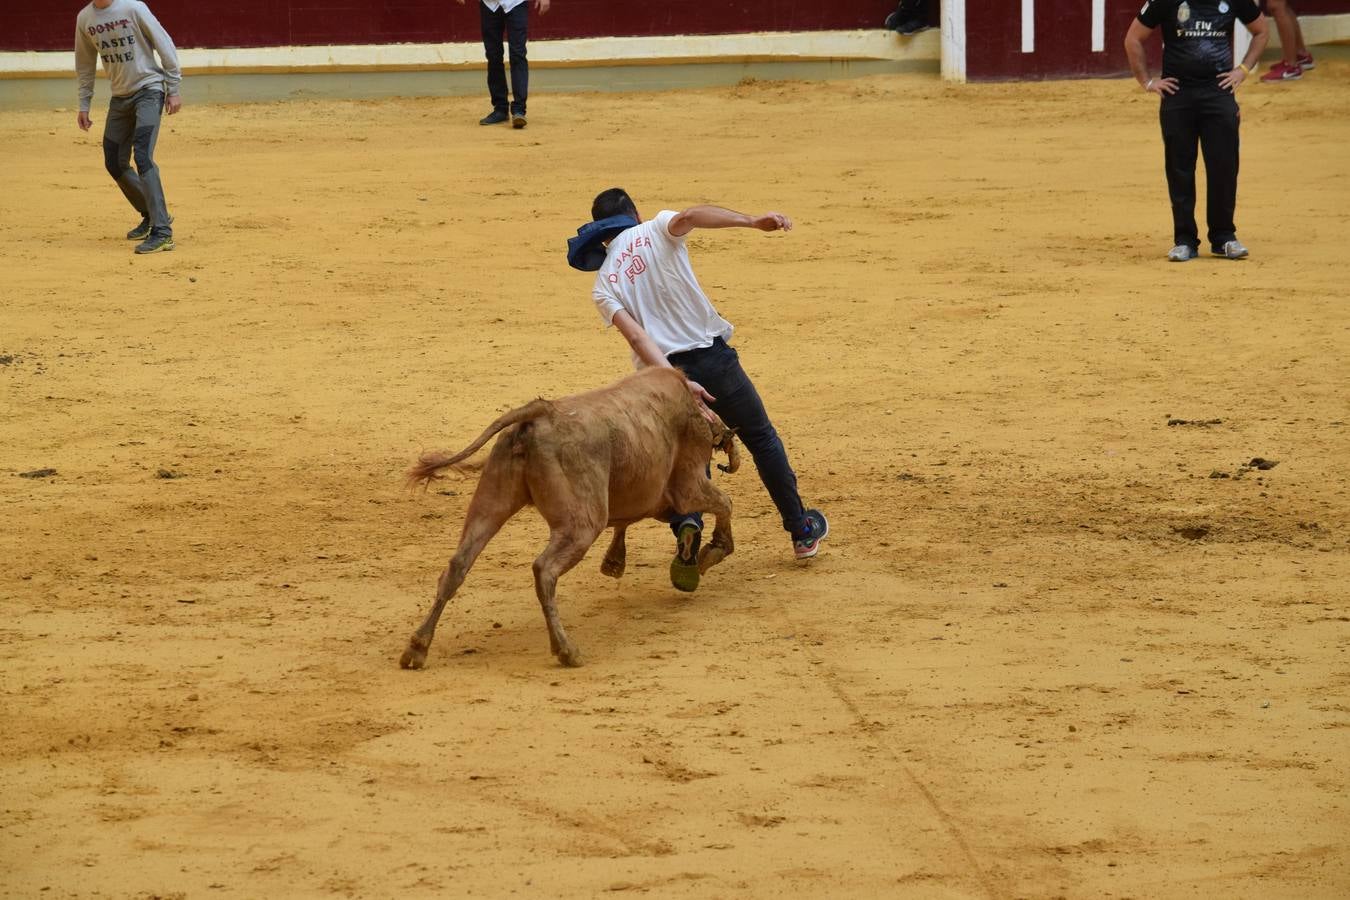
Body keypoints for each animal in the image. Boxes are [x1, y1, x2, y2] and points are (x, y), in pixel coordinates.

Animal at [399, 367, 739, 669]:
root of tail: (539, 414)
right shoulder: (687, 487)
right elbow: (725, 503)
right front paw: (714, 551)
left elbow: (626, 521)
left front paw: (614, 562)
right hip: (582, 524)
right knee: (544, 570)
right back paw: (566, 650)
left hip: (491, 503)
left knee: (458, 564)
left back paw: (417, 649)